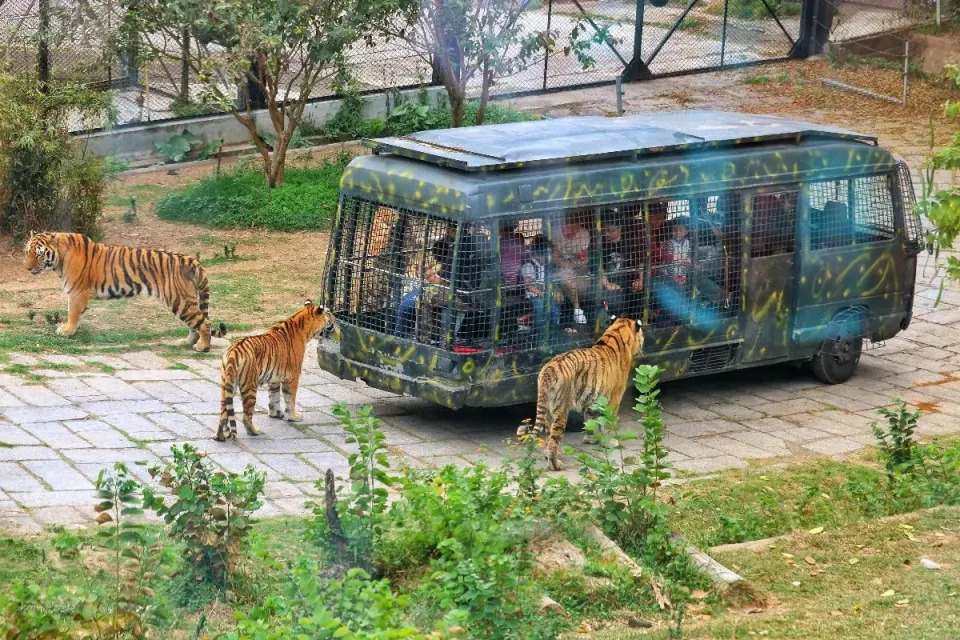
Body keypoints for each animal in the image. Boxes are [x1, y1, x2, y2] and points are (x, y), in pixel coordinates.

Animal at [25, 231, 226, 350]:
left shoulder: (76, 293)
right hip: (185, 301)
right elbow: (78, 315)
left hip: (180, 300)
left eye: (39, 254)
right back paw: (188, 342)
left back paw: (202, 347)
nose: (27, 268)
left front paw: (67, 331)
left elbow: (72, 314)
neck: (59, 260)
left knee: (204, 322)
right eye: (27, 252)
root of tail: (192, 260)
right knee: (196, 323)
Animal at [215, 300, 338, 440]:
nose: (336, 318)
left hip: (227, 386)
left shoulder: (274, 378)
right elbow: (290, 399)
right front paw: (294, 416)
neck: (304, 329)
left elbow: (274, 397)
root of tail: (233, 350)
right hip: (249, 386)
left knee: (223, 413)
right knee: (246, 416)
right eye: (328, 313)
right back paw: (255, 431)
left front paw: (276, 414)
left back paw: (219, 436)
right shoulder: (293, 376)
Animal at [516, 316, 644, 470]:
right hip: (561, 410)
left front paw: (591, 439)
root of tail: (549, 369)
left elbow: (592, 421)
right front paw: (610, 442)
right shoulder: (615, 397)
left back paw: (550, 455)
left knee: (548, 435)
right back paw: (555, 464)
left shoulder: (593, 402)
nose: (643, 344)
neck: (617, 333)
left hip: (548, 410)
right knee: (554, 440)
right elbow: (609, 422)